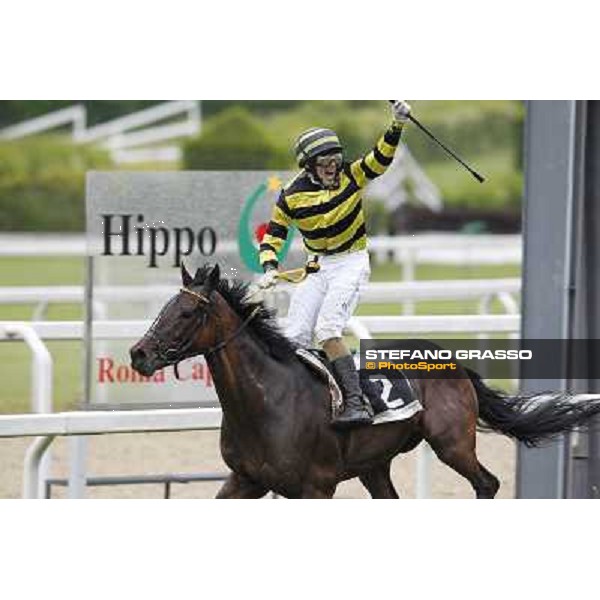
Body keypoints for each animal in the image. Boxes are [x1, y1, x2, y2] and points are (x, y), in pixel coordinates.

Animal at [131, 264, 600, 500]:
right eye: (165, 307)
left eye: (187, 313)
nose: (139, 354)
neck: (267, 402)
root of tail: (454, 363)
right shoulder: (246, 480)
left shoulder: (314, 489)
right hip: (374, 464)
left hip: (452, 442)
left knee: (487, 483)